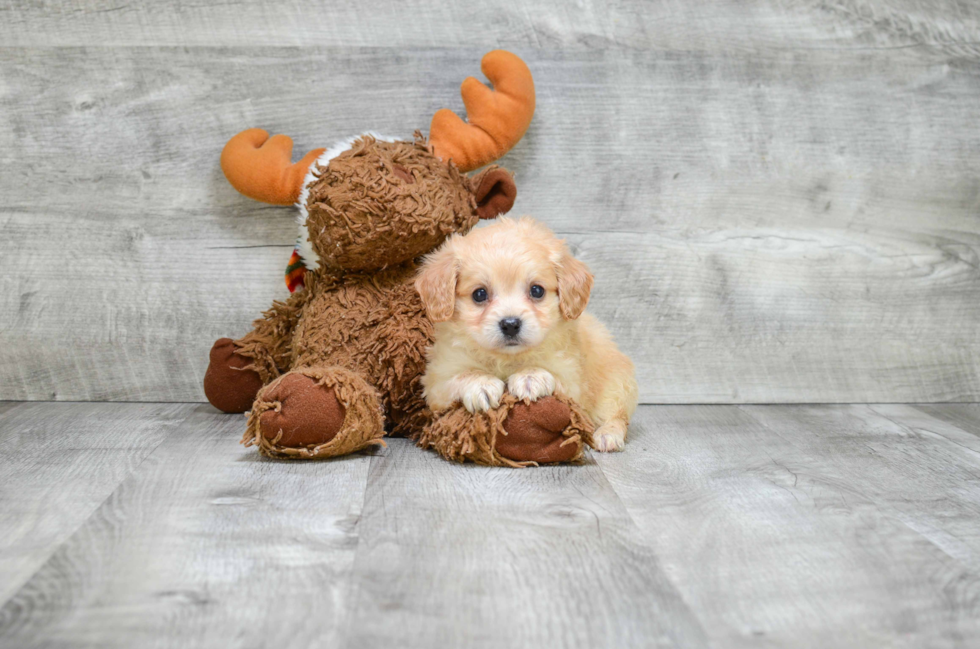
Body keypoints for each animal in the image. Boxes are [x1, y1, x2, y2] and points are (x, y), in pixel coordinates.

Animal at [412, 216, 636, 450]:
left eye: (536, 290)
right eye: (479, 294)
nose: (510, 324)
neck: (506, 359)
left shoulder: (572, 380)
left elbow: (553, 377)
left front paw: (530, 376)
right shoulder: (437, 382)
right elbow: (463, 374)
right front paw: (482, 383)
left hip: (617, 385)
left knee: (618, 416)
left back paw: (607, 435)